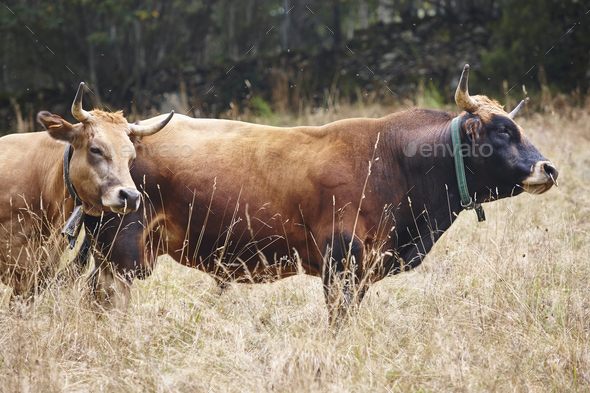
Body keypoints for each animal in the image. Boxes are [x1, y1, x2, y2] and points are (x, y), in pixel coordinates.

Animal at [83, 65, 560, 322]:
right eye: (503, 131)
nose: (549, 168)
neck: (395, 161)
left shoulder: (364, 268)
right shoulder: (342, 260)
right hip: (122, 251)